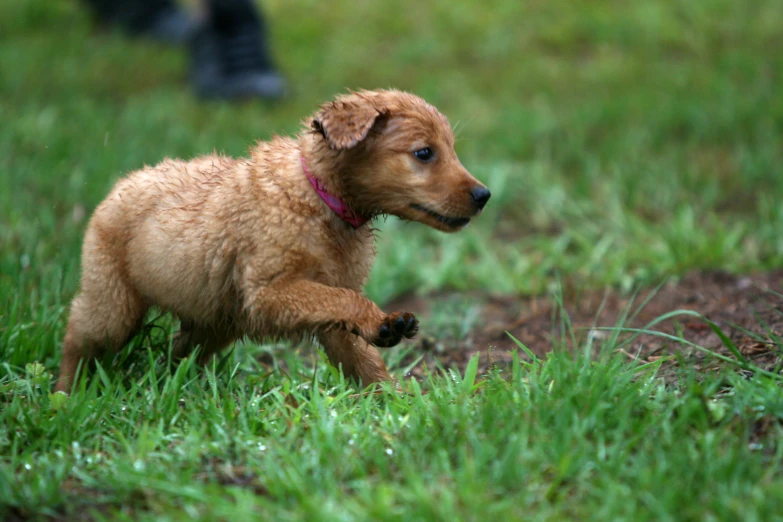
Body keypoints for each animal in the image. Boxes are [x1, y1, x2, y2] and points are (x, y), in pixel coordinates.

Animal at [56, 89, 490, 390]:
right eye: (424, 153)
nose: (484, 195)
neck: (319, 197)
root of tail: (123, 182)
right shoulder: (269, 292)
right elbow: (345, 301)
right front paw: (381, 323)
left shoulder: (327, 305)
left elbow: (362, 358)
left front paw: (397, 402)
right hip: (112, 301)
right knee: (79, 337)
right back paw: (66, 396)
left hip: (216, 319)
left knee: (180, 352)